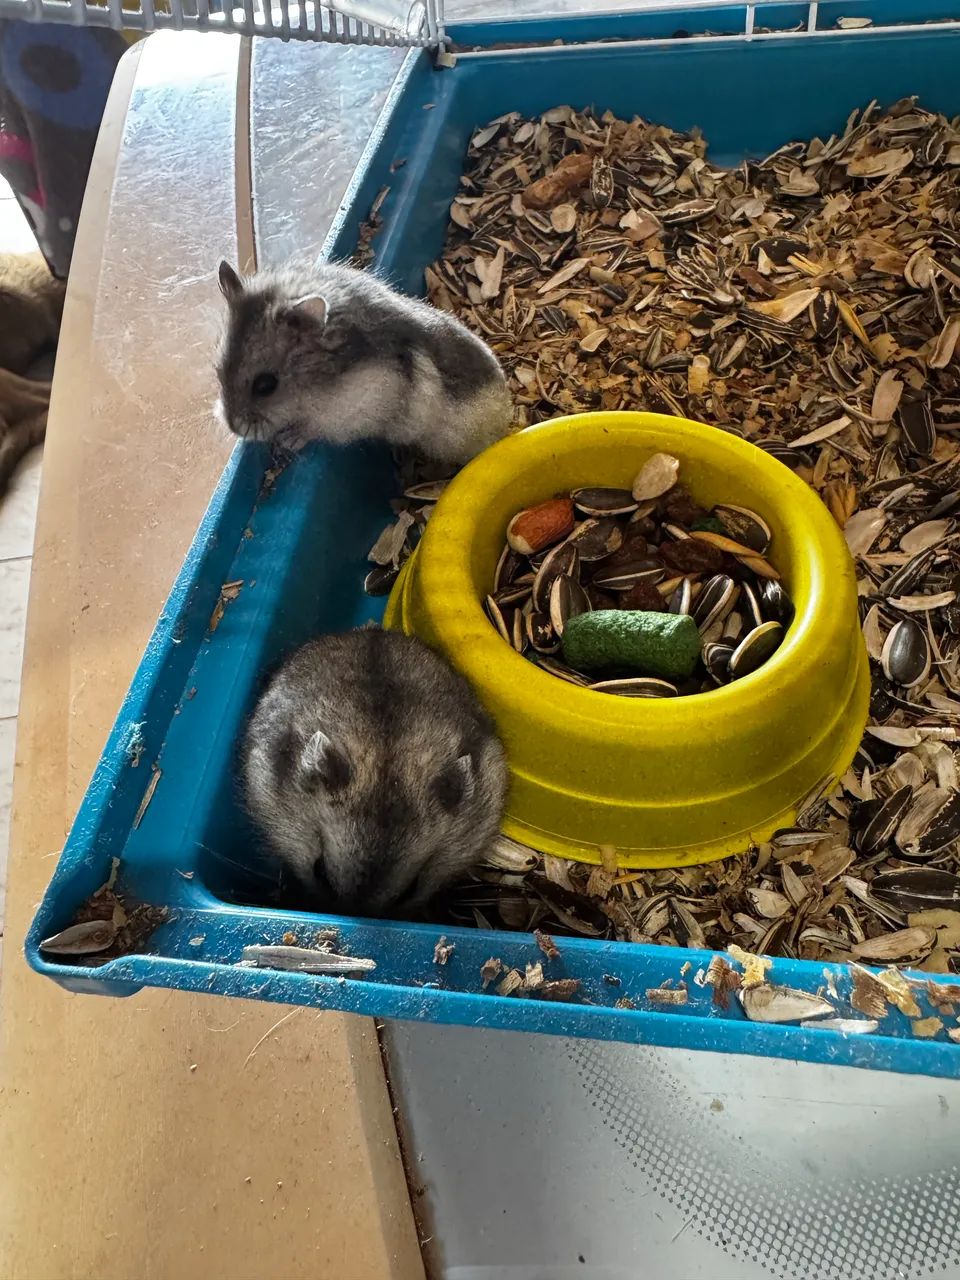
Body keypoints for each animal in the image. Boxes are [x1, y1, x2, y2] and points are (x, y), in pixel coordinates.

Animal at [215, 260, 514, 465]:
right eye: (218, 372)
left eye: (265, 385)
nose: (234, 427)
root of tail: (507, 411)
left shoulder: (349, 412)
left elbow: (314, 428)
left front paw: (289, 440)